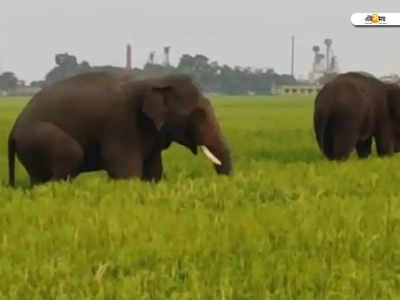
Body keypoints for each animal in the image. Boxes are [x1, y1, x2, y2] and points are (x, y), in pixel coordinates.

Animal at [7, 72, 233, 185]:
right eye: (198, 114)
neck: (155, 81)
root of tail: (13, 129)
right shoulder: (121, 124)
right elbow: (125, 170)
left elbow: (153, 170)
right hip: (39, 137)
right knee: (70, 156)